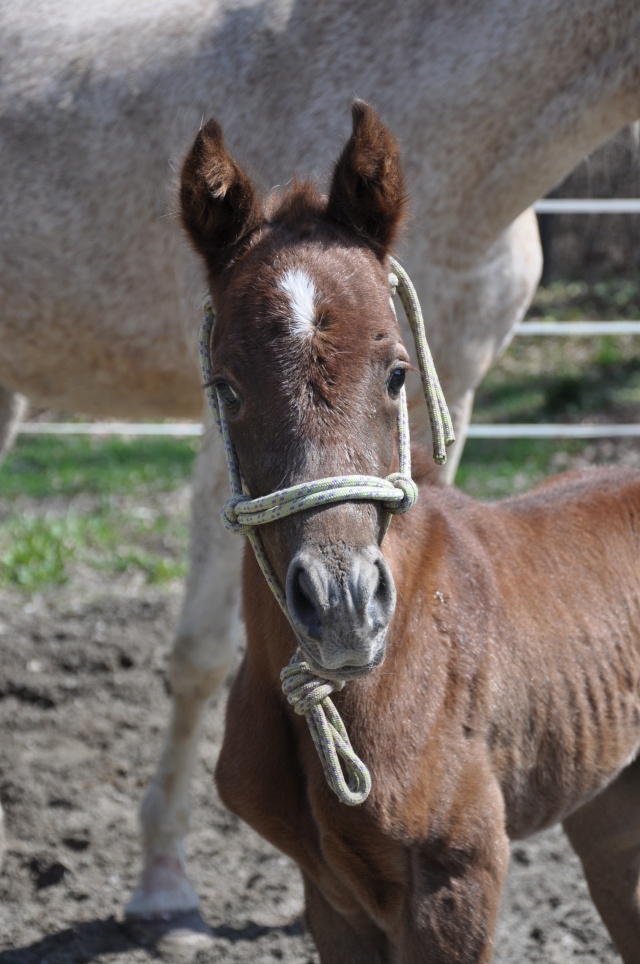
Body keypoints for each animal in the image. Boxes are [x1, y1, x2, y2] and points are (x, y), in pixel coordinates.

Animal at [0, 0, 636, 936]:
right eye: (226, 385)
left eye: (397, 370)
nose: (340, 608)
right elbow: (200, 652)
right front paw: (163, 881)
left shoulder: (450, 390)